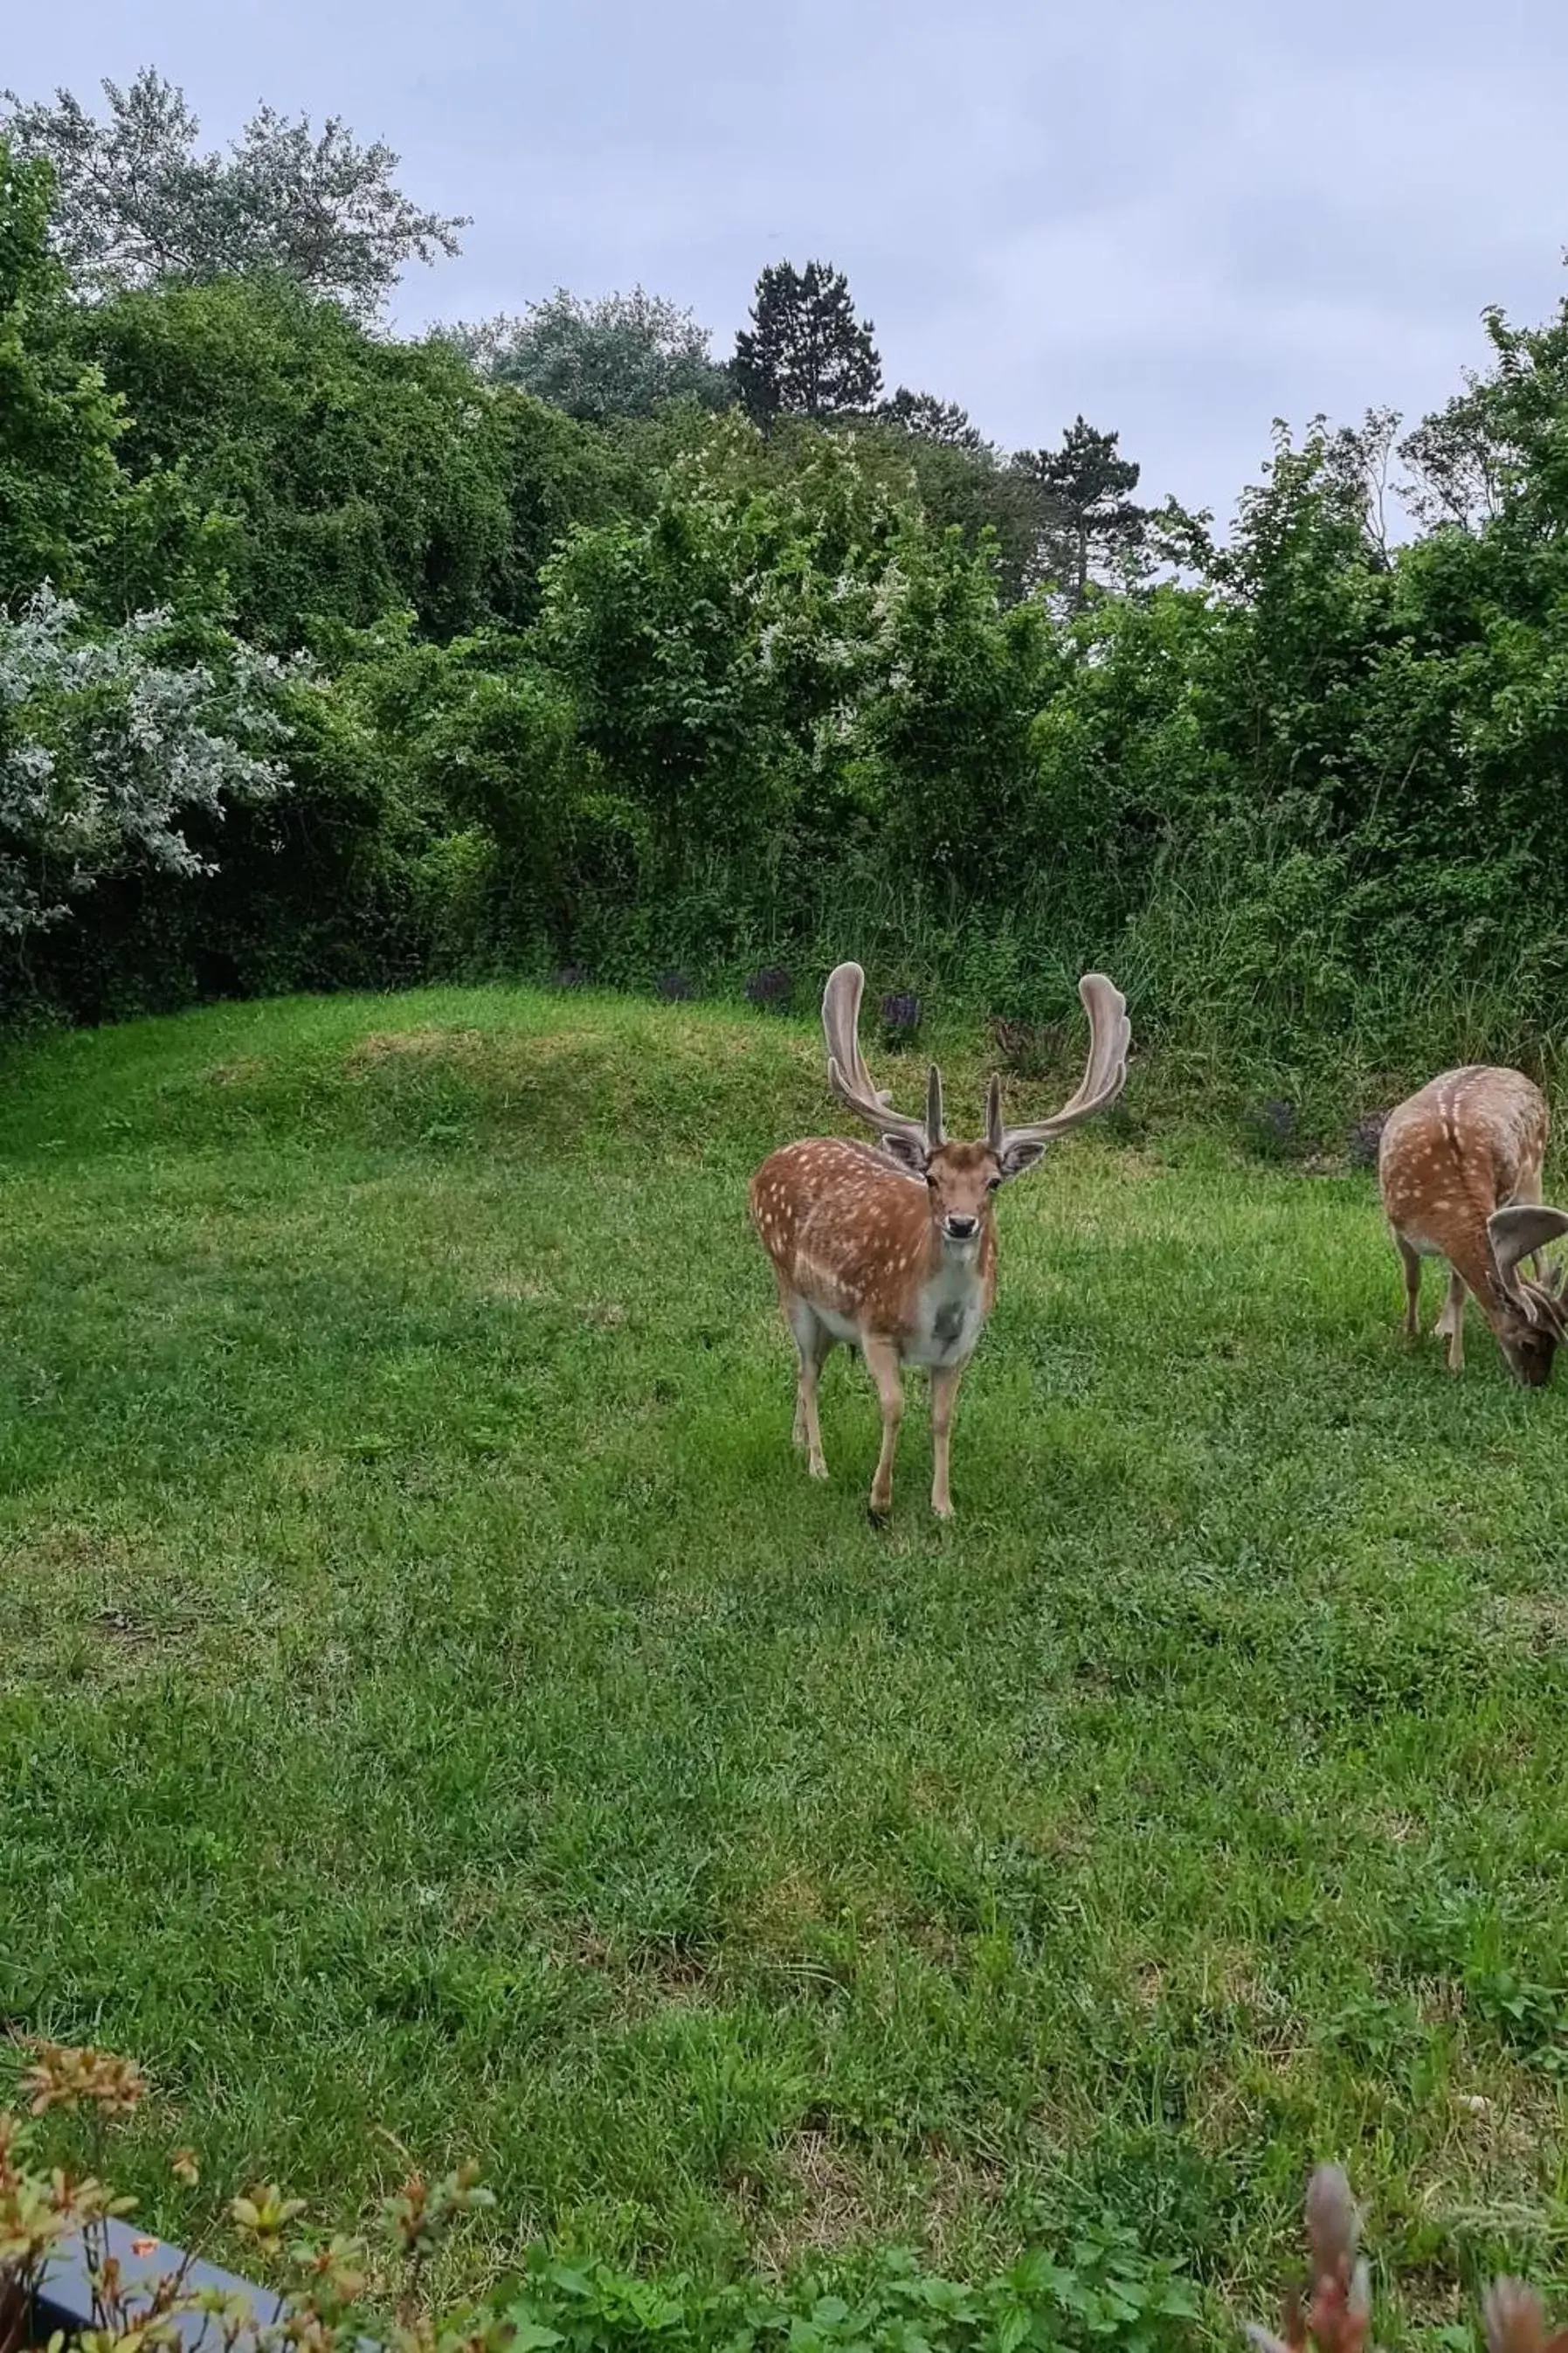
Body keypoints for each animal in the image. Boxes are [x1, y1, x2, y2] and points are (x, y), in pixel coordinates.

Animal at [747, 959, 1128, 1525]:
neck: (936, 1315)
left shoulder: (961, 1349)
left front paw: (943, 1505)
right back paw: (817, 1464)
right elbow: (894, 1407)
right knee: (810, 1371)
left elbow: (943, 1418)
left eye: (994, 1182)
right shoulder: (876, 1328)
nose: (961, 1223)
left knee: (804, 1367)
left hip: (830, 1319)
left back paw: (797, 1442)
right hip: (790, 1285)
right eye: (931, 1177)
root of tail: (765, 1165)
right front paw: (879, 1501)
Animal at [1382, 1068, 1568, 1374]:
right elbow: (1413, 1282)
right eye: (1528, 1343)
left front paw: (1456, 1361)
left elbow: (1459, 1293)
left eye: (1554, 1343)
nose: (1538, 1381)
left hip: (1532, 1176)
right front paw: (1410, 1337)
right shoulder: (1398, 1227)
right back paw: (1441, 1327)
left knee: (1540, 1256)